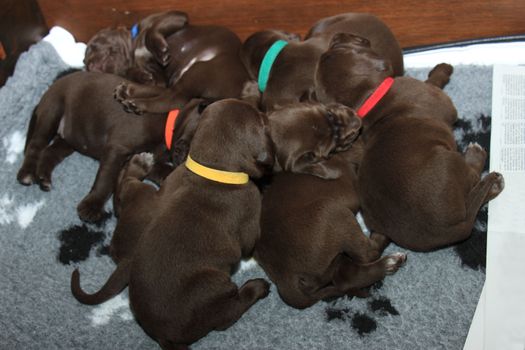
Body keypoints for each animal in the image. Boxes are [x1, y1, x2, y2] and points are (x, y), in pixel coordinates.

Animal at [15, 70, 207, 221]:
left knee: (50, 152)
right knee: (35, 145)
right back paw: (27, 174)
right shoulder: (117, 149)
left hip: (68, 140)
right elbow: (106, 179)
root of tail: (46, 94)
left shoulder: (142, 157)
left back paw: (43, 177)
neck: (170, 119)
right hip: (52, 112)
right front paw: (92, 206)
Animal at [70, 100, 360, 348]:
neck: (214, 169)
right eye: (329, 147)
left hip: (145, 197)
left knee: (125, 191)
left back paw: (136, 165)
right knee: (228, 312)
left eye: (328, 113)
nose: (355, 120)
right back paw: (255, 288)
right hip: (216, 286)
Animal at [254, 138, 406, 308]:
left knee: (345, 278)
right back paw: (388, 253)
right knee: (367, 254)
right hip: (330, 210)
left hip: (330, 261)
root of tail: (284, 277)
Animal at [312, 33, 504, 252]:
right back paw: (483, 167)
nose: (337, 35)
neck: (368, 98)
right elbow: (433, 81)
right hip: (451, 161)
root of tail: (448, 230)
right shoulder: (435, 96)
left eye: (334, 46)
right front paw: (443, 68)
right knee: (473, 177)